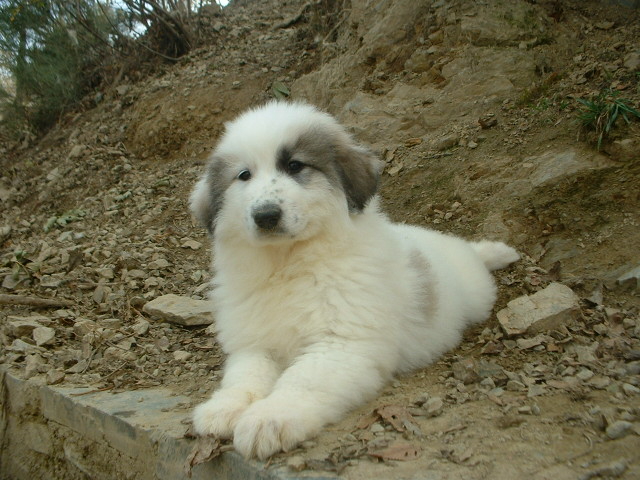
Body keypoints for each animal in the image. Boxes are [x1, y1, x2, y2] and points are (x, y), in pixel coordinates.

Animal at [191, 100, 520, 458]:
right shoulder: (255, 344)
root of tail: (457, 247)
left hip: (476, 294)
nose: (265, 216)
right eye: (244, 175)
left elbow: (303, 380)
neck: (289, 264)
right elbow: (245, 376)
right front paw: (225, 407)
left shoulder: (342, 344)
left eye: (295, 165)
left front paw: (270, 418)